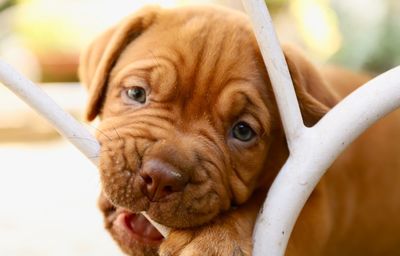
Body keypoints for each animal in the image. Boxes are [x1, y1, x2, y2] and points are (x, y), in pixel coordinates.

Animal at [79, 4, 400, 256]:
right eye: (136, 93)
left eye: (243, 131)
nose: (160, 178)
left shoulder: (315, 205)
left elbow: (259, 209)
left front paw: (216, 238)